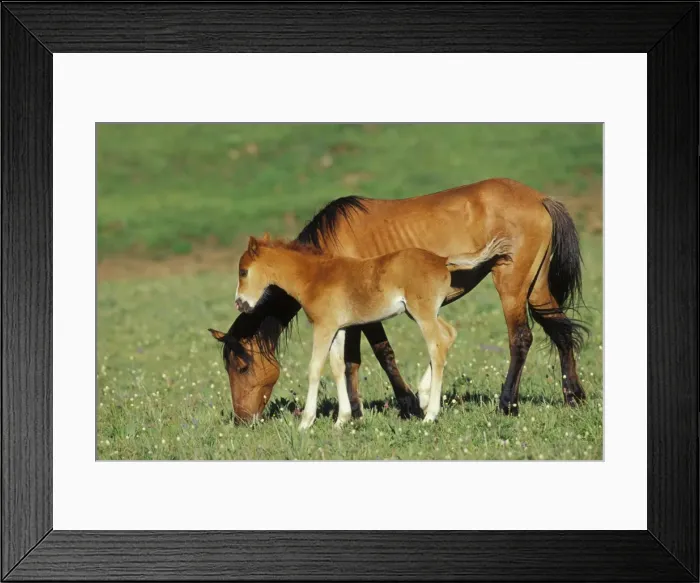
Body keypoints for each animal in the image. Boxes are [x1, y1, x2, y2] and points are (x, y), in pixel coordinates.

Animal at [229, 235, 511, 428]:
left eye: (243, 271)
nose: (240, 303)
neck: (315, 277)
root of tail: (442, 260)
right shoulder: (339, 329)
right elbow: (337, 368)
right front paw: (342, 420)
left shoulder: (323, 327)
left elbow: (315, 368)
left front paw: (306, 422)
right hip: (422, 313)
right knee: (449, 335)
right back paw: (423, 397)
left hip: (422, 313)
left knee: (437, 346)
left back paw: (430, 414)